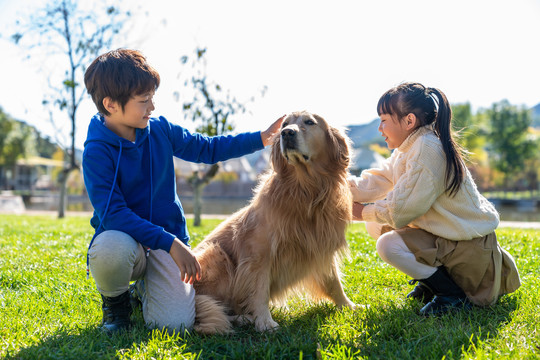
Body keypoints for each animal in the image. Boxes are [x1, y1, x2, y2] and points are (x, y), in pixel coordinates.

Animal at [193, 111, 354, 334]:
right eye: (285, 124)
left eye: (310, 122)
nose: (286, 133)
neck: (306, 190)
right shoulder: (258, 254)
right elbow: (259, 290)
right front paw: (265, 321)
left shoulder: (321, 246)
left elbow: (334, 282)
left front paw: (349, 306)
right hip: (216, 255)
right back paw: (243, 319)